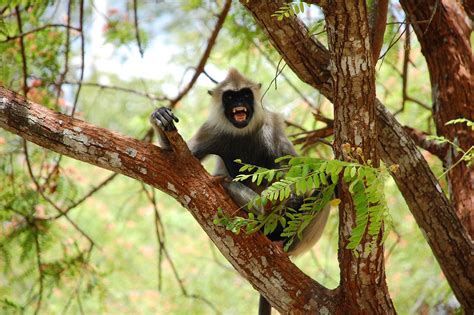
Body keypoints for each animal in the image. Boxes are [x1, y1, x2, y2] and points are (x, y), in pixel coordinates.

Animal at [151, 68, 330, 315]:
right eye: (230, 97)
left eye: (245, 95)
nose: (238, 103)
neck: (243, 131)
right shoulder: (212, 130)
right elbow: (174, 158)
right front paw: (159, 116)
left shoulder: (272, 127)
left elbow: (297, 169)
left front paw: (292, 196)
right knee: (225, 181)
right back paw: (263, 208)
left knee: (328, 187)